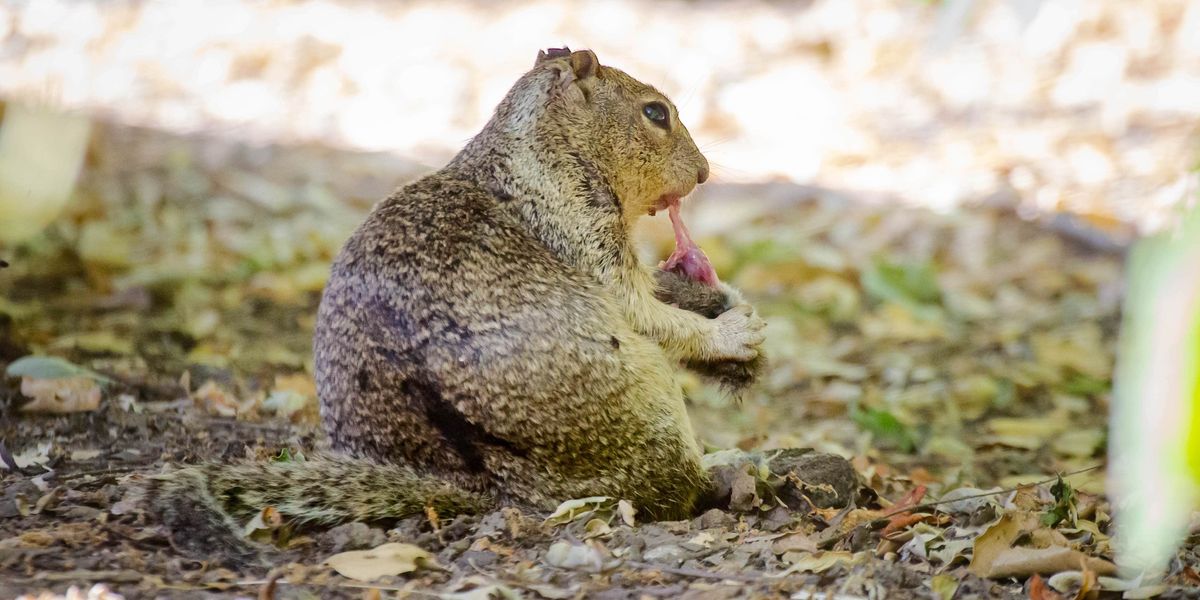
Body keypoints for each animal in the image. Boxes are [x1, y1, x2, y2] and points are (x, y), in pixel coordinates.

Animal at [145, 48, 768, 563]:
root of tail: (475, 485)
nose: (704, 171)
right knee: (668, 491)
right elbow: (645, 312)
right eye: (656, 113)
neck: (546, 149)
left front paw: (716, 301)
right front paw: (733, 333)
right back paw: (728, 476)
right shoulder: (581, 232)